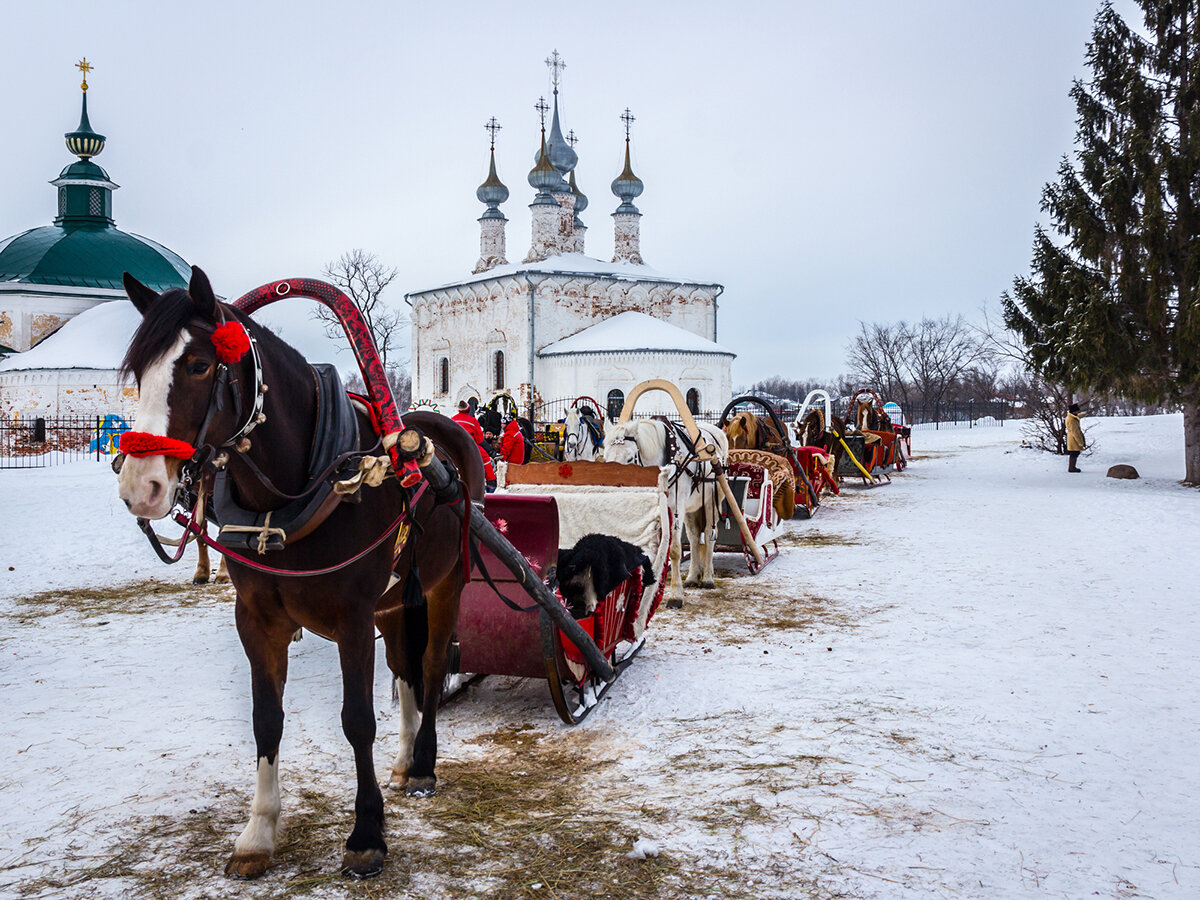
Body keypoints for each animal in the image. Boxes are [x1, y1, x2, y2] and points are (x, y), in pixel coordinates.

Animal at [115, 267, 482, 883]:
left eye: (199, 365)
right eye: (138, 373)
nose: (140, 486)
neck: (294, 493)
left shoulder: (353, 619)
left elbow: (358, 720)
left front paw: (366, 835)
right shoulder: (258, 620)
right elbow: (267, 719)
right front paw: (258, 832)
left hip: (447, 583)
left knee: (431, 668)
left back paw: (425, 764)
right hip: (394, 602)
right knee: (405, 670)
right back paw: (405, 760)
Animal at [604, 420, 724, 602]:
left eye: (630, 458)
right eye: (605, 458)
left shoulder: (676, 507)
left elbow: (674, 550)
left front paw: (676, 595)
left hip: (712, 501)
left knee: (710, 535)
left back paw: (707, 579)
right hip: (690, 508)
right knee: (694, 537)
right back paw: (692, 577)